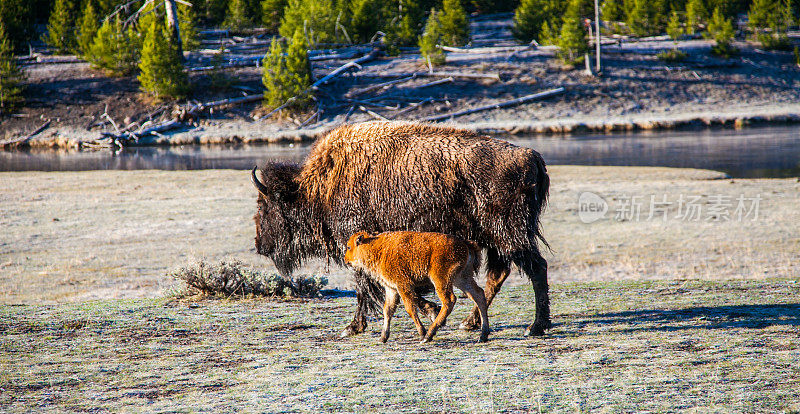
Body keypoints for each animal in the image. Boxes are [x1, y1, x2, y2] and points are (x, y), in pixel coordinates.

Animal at [342, 230, 488, 342]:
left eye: (349, 247)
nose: (346, 260)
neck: (377, 247)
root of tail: (465, 244)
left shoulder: (403, 286)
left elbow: (410, 308)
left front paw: (422, 333)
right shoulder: (391, 288)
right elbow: (388, 310)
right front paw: (383, 337)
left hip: (441, 280)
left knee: (449, 301)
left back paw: (428, 335)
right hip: (461, 278)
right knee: (478, 294)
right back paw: (483, 335)